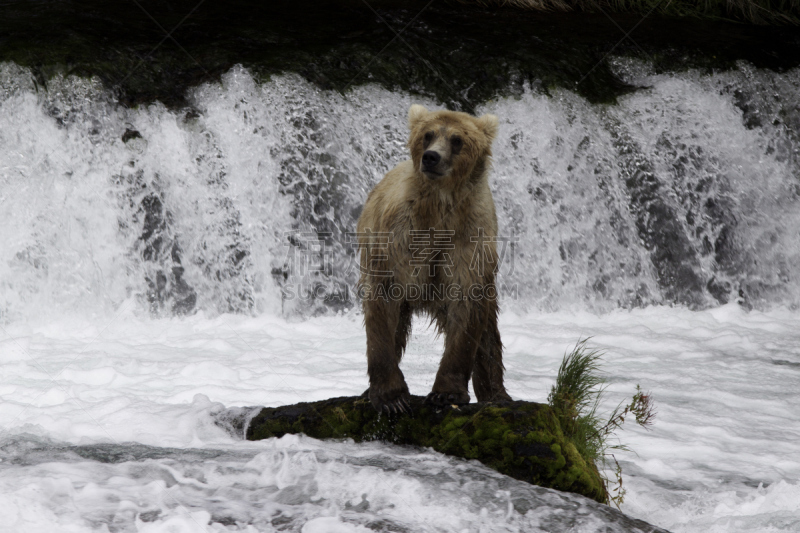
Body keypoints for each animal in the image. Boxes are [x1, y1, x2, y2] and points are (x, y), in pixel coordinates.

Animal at [356, 103, 512, 412]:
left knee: (488, 333)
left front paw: (446, 394)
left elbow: (467, 308)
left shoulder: (468, 240)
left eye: (457, 139)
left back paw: (497, 395)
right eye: (427, 135)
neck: (441, 207)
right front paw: (391, 397)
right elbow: (383, 304)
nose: (431, 157)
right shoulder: (400, 236)